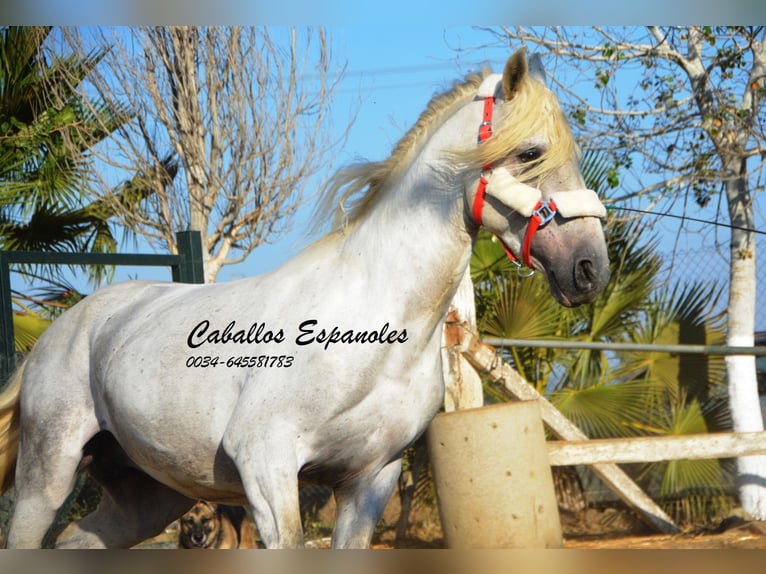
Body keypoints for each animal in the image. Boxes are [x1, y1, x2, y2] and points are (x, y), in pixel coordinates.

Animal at [0, 51, 612, 552]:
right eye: (530, 151)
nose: (590, 269)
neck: (374, 331)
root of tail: (63, 329)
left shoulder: (370, 479)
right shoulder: (266, 465)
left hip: (150, 494)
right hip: (48, 474)